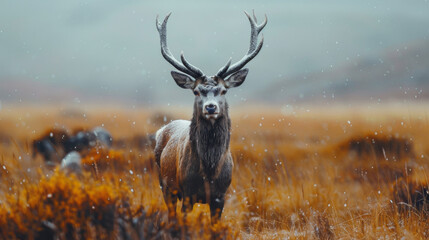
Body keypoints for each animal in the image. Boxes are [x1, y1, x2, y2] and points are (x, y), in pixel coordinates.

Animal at [154, 10, 266, 222]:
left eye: (223, 90)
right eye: (196, 91)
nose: (211, 107)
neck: (209, 171)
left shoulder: (220, 196)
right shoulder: (187, 193)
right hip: (165, 185)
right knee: (171, 214)